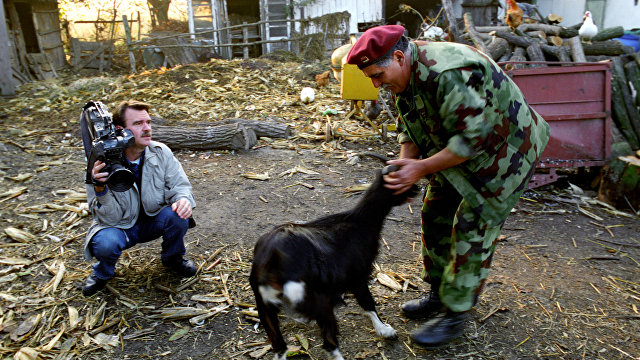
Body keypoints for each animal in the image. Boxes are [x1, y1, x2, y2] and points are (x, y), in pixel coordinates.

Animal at [248, 166, 418, 360]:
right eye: (405, 182)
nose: (419, 188)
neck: (360, 222)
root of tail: (273, 257)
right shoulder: (358, 275)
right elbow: (367, 302)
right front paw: (385, 330)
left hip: (265, 304)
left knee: (280, 346)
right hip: (316, 299)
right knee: (329, 341)